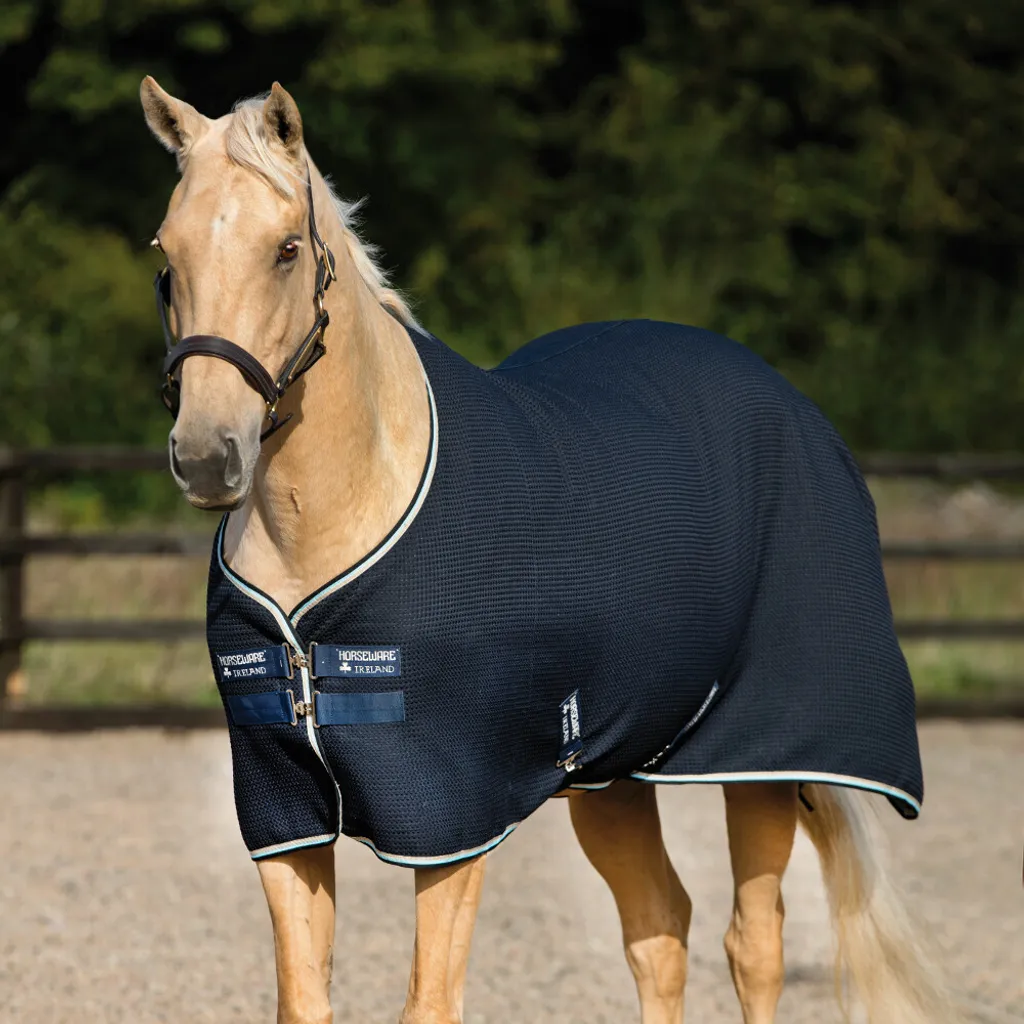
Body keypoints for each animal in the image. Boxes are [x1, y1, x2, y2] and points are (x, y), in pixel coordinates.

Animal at [140, 78, 955, 1024]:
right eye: (168, 252)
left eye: (286, 248)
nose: (208, 454)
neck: (335, 524)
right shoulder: (285, 816)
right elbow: (304, 1001)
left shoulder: (450, 816)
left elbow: (430, 1002)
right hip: (612, 773)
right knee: (659, 931)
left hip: (759, 761)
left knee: (754, 944)